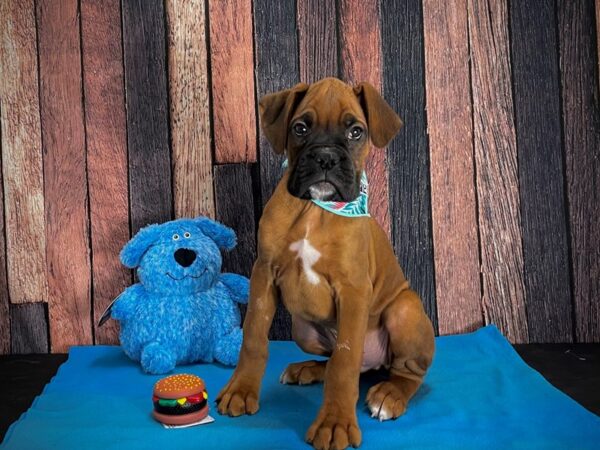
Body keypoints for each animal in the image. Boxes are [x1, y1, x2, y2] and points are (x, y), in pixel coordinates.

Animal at [218, 79, 434, 450]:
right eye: (300, 128)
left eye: (356, 131)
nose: (326, 158)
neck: (314, 210)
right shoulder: (263, 274)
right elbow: (254, 339)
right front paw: (241, 389)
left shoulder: (353, 290)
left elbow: (344, 362)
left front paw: (335, 422)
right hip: (302, 330)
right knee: (337, 360)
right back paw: (308, 369)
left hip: (404, 310)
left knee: (404, 372)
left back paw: (390, 395)